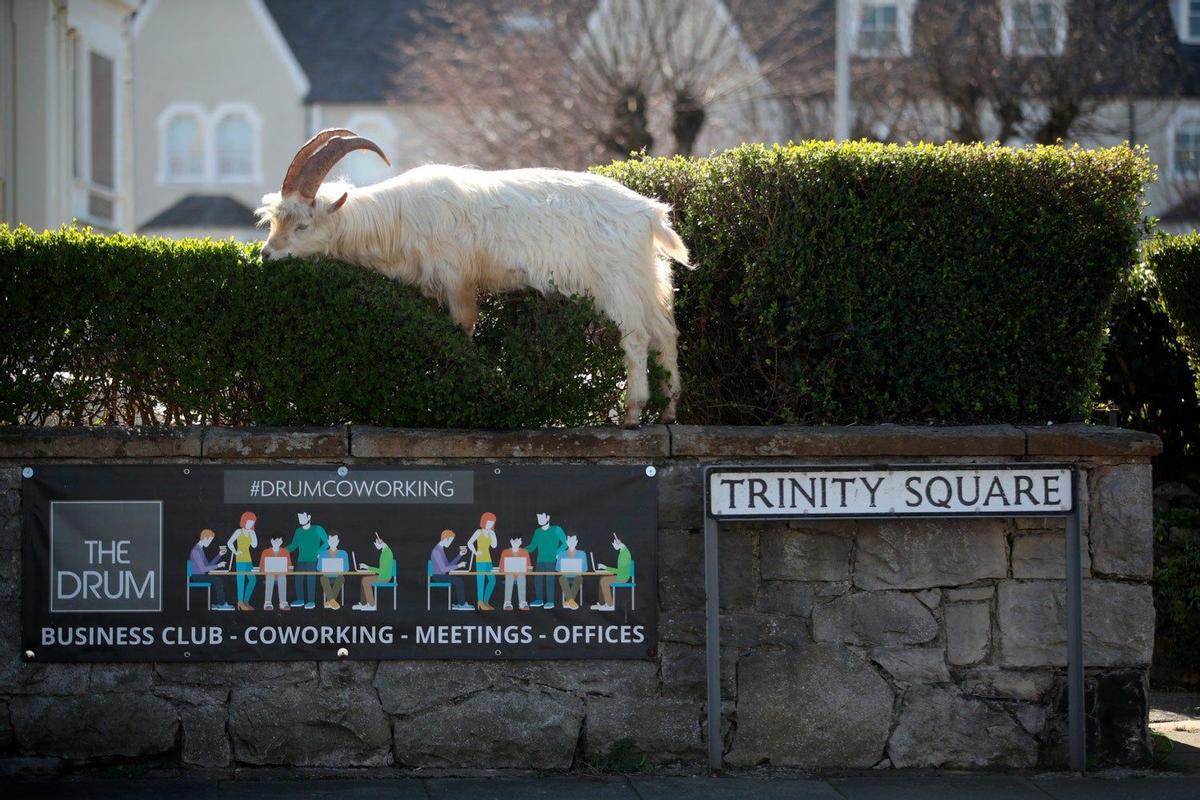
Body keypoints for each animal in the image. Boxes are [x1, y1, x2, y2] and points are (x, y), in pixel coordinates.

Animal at [260, 128, 696, 429]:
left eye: (301, 225)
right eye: (274, 220)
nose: (266, 255)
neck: (397, 218)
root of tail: (649, 214)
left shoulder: (458, 279)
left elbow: (464, 330)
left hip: (619, 282)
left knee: (636, 337)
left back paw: (633, 414)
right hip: (649, 277)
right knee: (665, 332)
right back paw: (669, 410)